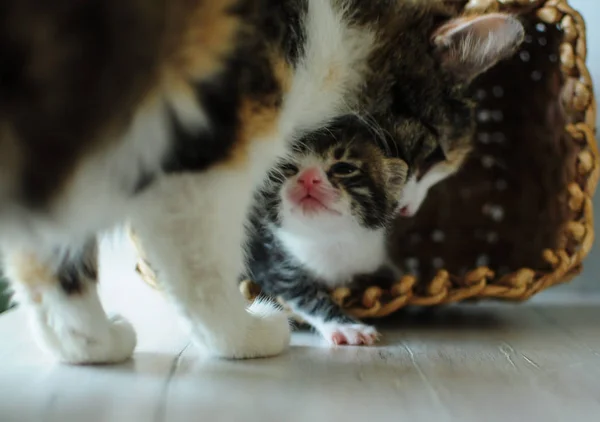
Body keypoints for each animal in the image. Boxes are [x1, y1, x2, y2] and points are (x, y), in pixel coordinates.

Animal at [243, 113, 474, 344]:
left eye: (344, 169)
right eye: (286, 167)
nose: (307, 177)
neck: (330, 238)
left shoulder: (372, 257)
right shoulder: (272, 264)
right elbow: (307, 295)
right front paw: (347, 327)